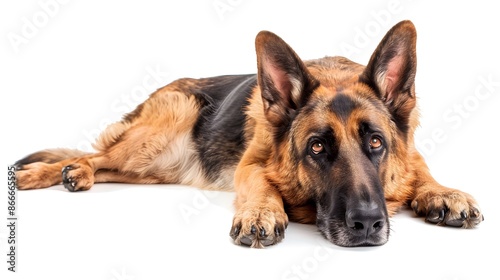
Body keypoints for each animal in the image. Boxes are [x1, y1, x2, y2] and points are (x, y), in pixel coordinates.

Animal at [16, 21, 484, 247]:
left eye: (375, 143)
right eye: (317, 147)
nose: (368, 224)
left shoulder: (409, 155)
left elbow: (421, 169)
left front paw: (444, 193)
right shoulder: (251, 164)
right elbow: (262, 183)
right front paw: (261, 212)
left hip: (154, 169)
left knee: (105, 165)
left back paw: (75, 175)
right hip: (152, 142)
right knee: (91, 155)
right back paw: (41, 174)